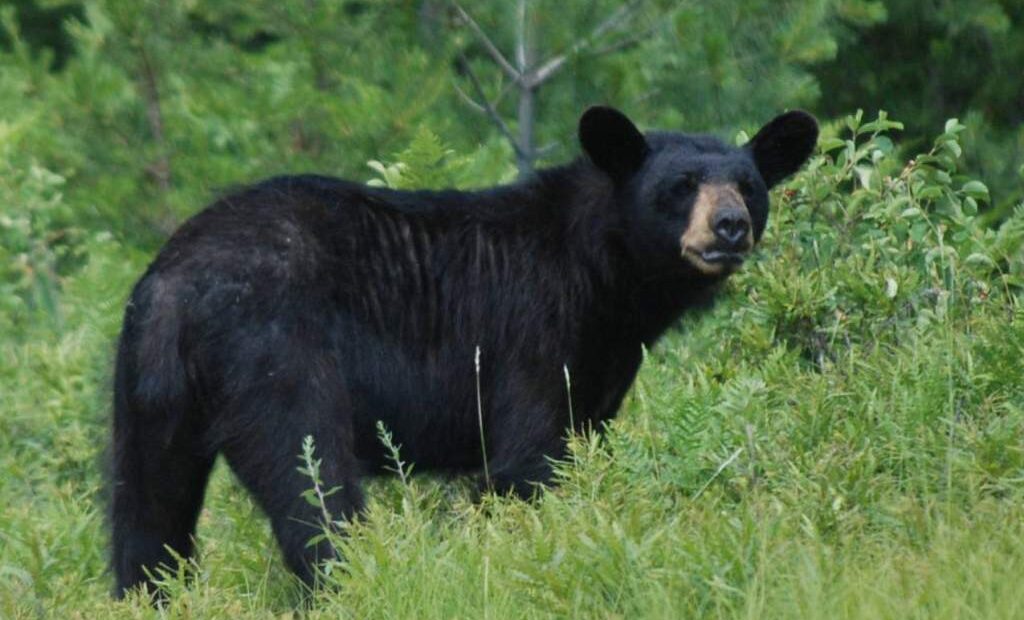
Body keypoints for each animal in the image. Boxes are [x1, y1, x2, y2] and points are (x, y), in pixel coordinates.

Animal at [110, 106, 818, 597]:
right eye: (681, 184)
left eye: (749, 184)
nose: (730, 226)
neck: (604, 274)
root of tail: (176, 283)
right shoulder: (533, 333)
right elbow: (527, 459)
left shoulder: (602, 366)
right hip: (274, 355)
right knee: (310, 483)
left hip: (149, 389)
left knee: (147, 511)